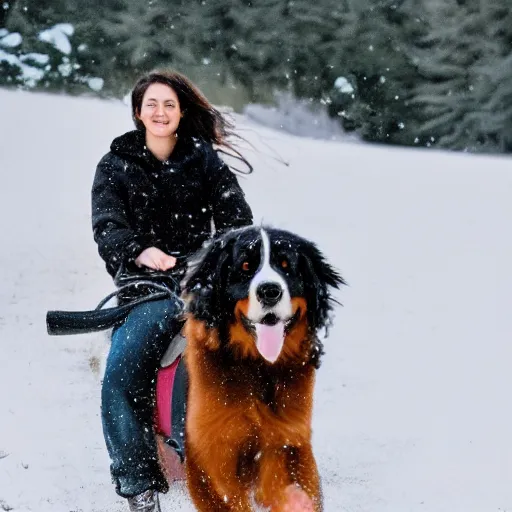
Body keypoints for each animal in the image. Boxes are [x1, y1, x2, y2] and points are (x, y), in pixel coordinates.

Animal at [180, 227, 344, 512]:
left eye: (286, 266)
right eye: (246, 266)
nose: (270, 291)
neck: (257, 368)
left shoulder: (288, 437)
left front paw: (297, 501)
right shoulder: (211, 450)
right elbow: (228, 495)